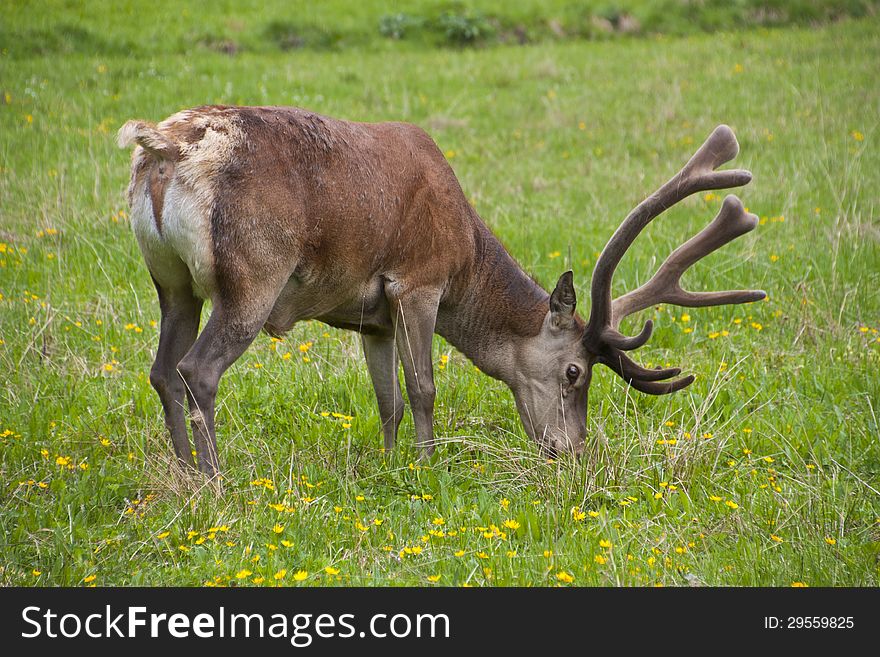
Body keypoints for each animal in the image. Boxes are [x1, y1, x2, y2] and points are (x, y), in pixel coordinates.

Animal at [117, 107, 764, 476]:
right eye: (575, 372)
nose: (573, 452)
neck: (466, 254)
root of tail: (163, 149)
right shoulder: (418, 280)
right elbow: (423, 388)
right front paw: (427, 469)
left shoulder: (370, 316)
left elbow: (387, 398)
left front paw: (389, 465)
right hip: (253, 275)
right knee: (197, 369)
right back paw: (214, 481)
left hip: (170, 281)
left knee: (161, 369)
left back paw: (182, 474)